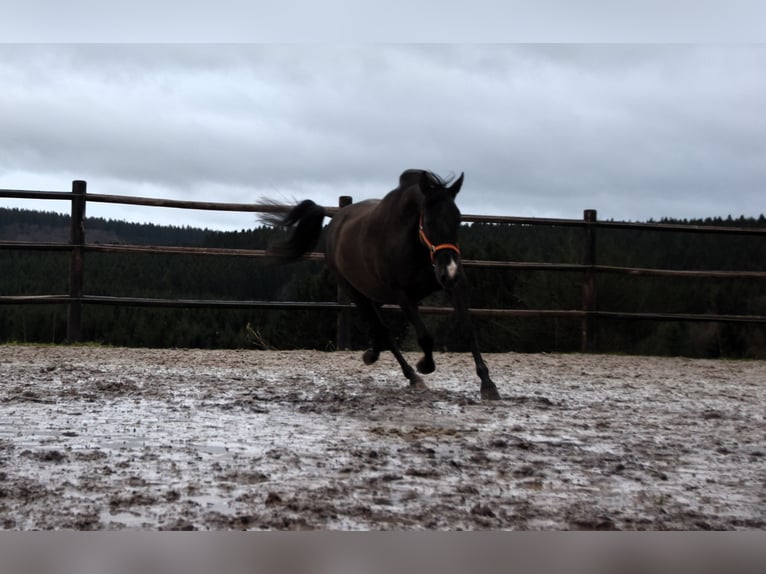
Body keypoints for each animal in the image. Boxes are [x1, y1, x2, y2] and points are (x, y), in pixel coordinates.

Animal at [268, 170, 500, 400]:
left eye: (458, 219)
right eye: (429, 221)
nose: (449, 271)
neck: (415, 246)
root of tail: (336, 220)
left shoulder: (455, 287)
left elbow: (468, 329)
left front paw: (487, 383)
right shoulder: (403, 296)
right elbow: (425, 337)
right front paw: (424, 365)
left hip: (372, 292)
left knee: (375, 326)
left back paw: (372, 353)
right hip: (354, 291)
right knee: (383, 330)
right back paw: (411, 376)